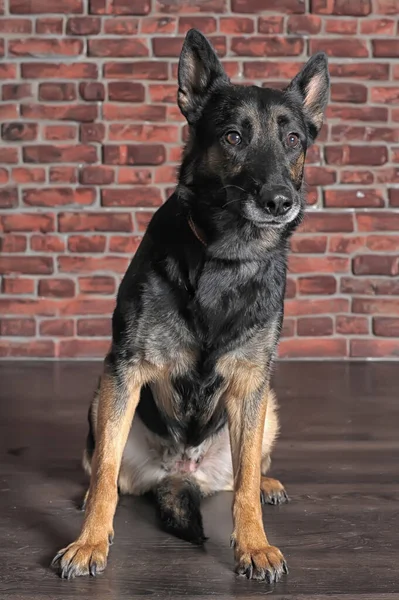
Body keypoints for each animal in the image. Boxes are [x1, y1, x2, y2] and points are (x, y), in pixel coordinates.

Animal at [51, 29, 330, 584]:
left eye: (293, 140)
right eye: (233, 137)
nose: (279, 201)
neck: (227, 257)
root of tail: (182, 474)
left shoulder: (251, 383)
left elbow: (246, 484)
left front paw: (254, 545)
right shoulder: (124, 370)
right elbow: (106, 470)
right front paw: (90, 542)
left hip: (267, 405)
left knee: (245, 472)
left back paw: (268, 485)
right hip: (101, 396)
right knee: (106, 470)